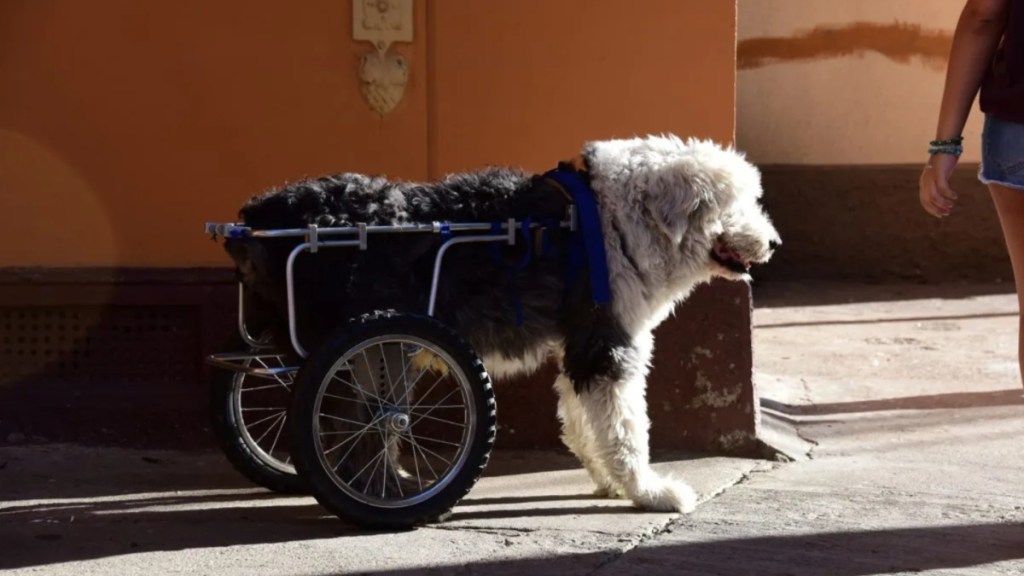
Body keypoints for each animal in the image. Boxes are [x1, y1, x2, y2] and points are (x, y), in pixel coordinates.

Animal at [228, 134, 778, 510]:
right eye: (735, 203)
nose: (773, 243)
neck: (620, 220)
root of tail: (258, 216)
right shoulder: (605, 344)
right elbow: (626, 429)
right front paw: (648, 492)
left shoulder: (578, 345)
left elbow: (583, 421)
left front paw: (606, 480)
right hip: (374, 340)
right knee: (361, 421)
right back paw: (388, 493)